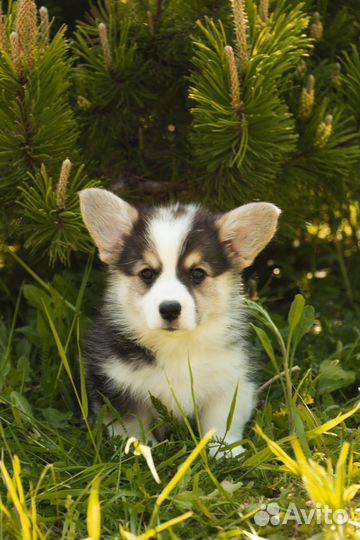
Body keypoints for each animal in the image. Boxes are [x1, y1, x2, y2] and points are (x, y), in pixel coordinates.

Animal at [79, 188, 282, 458]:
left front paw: (225, 451)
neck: (177, 346)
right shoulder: (115, 383)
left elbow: (222, 420)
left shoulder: (231, 379)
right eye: (147, 273)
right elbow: (131, 425)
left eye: (197, 273)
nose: (169, 309)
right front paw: (140, 450)